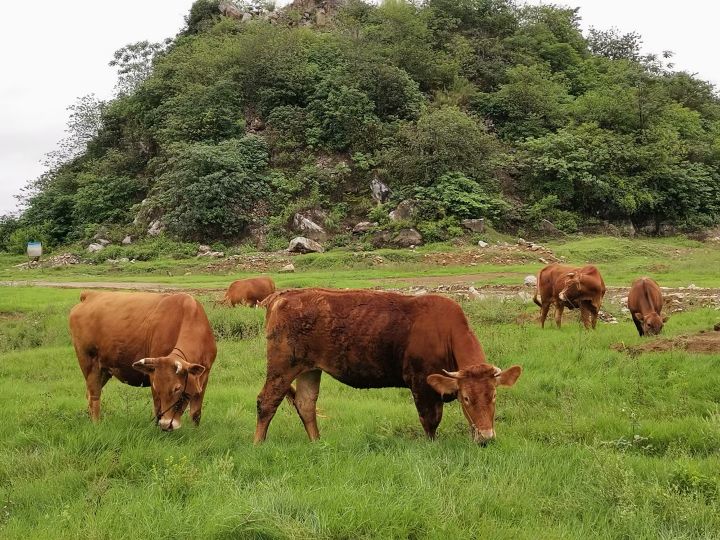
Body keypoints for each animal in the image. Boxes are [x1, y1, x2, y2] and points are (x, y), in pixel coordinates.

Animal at [69, 292, 218, 430]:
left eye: (177, 388)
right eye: (158, 387)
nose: (166, 424)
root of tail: (90, 295)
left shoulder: (204, 376)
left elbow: (196, 413)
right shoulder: (153, 376)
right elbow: (157, 409)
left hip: (104, 371)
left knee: (89, 394)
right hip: (89, 364)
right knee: (94, 396)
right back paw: (96, 424)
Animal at [256, 288, 520, 446]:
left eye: (494, 396)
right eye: (466, 398)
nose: (487, 437)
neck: (443, 332)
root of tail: (283, 295)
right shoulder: (422, 384)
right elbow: (430, 421)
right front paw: (432, 446)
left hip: (310, 369)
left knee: (305, 404)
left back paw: (317, 442)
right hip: (282, 367)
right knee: (267, 401)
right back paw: (258, 443)